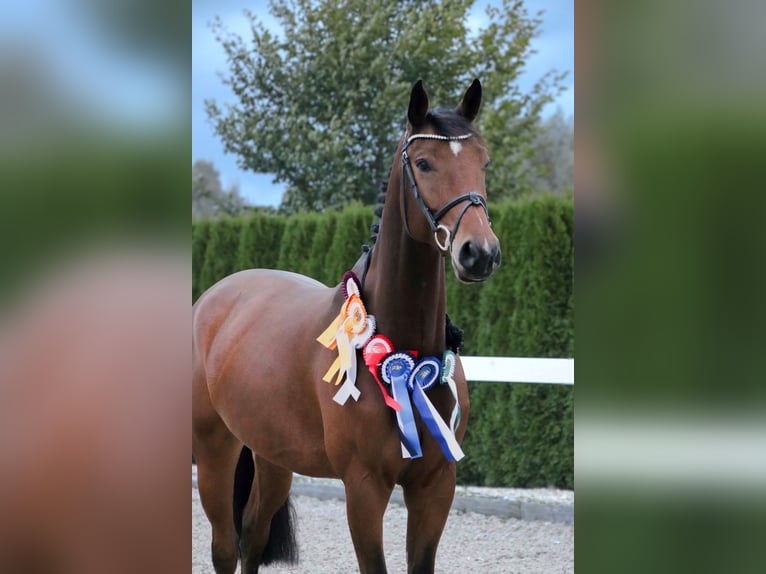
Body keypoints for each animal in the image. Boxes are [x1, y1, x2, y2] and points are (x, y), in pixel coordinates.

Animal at [195, 79, 500, 572]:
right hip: (214, 450)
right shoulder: (363, 488)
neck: (405, 351)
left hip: (272, 457)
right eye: (423, 162)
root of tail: (213, 299)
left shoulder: (436, 485)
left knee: (254, 535)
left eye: (482, 161)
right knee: (225, 546)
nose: (479, 253)